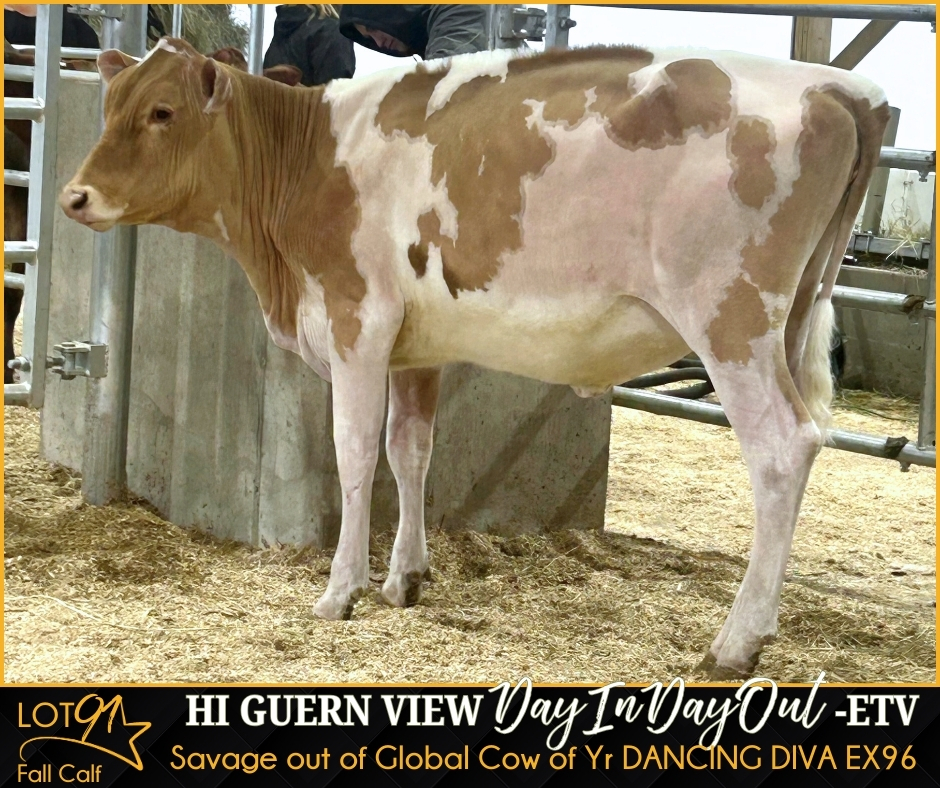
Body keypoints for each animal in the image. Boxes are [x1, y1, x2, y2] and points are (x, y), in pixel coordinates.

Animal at [59, 37, 889, 678]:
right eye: (110, 105)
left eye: (161, 112)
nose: (73, 197)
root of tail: (838, 86)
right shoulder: (413, 349)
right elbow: (411, 452)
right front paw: (405, 578)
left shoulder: (358, 322)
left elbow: (355, 454)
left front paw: (340, 591)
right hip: (788, 319)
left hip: (731, 319)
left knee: (782, 448)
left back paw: (735, 643)